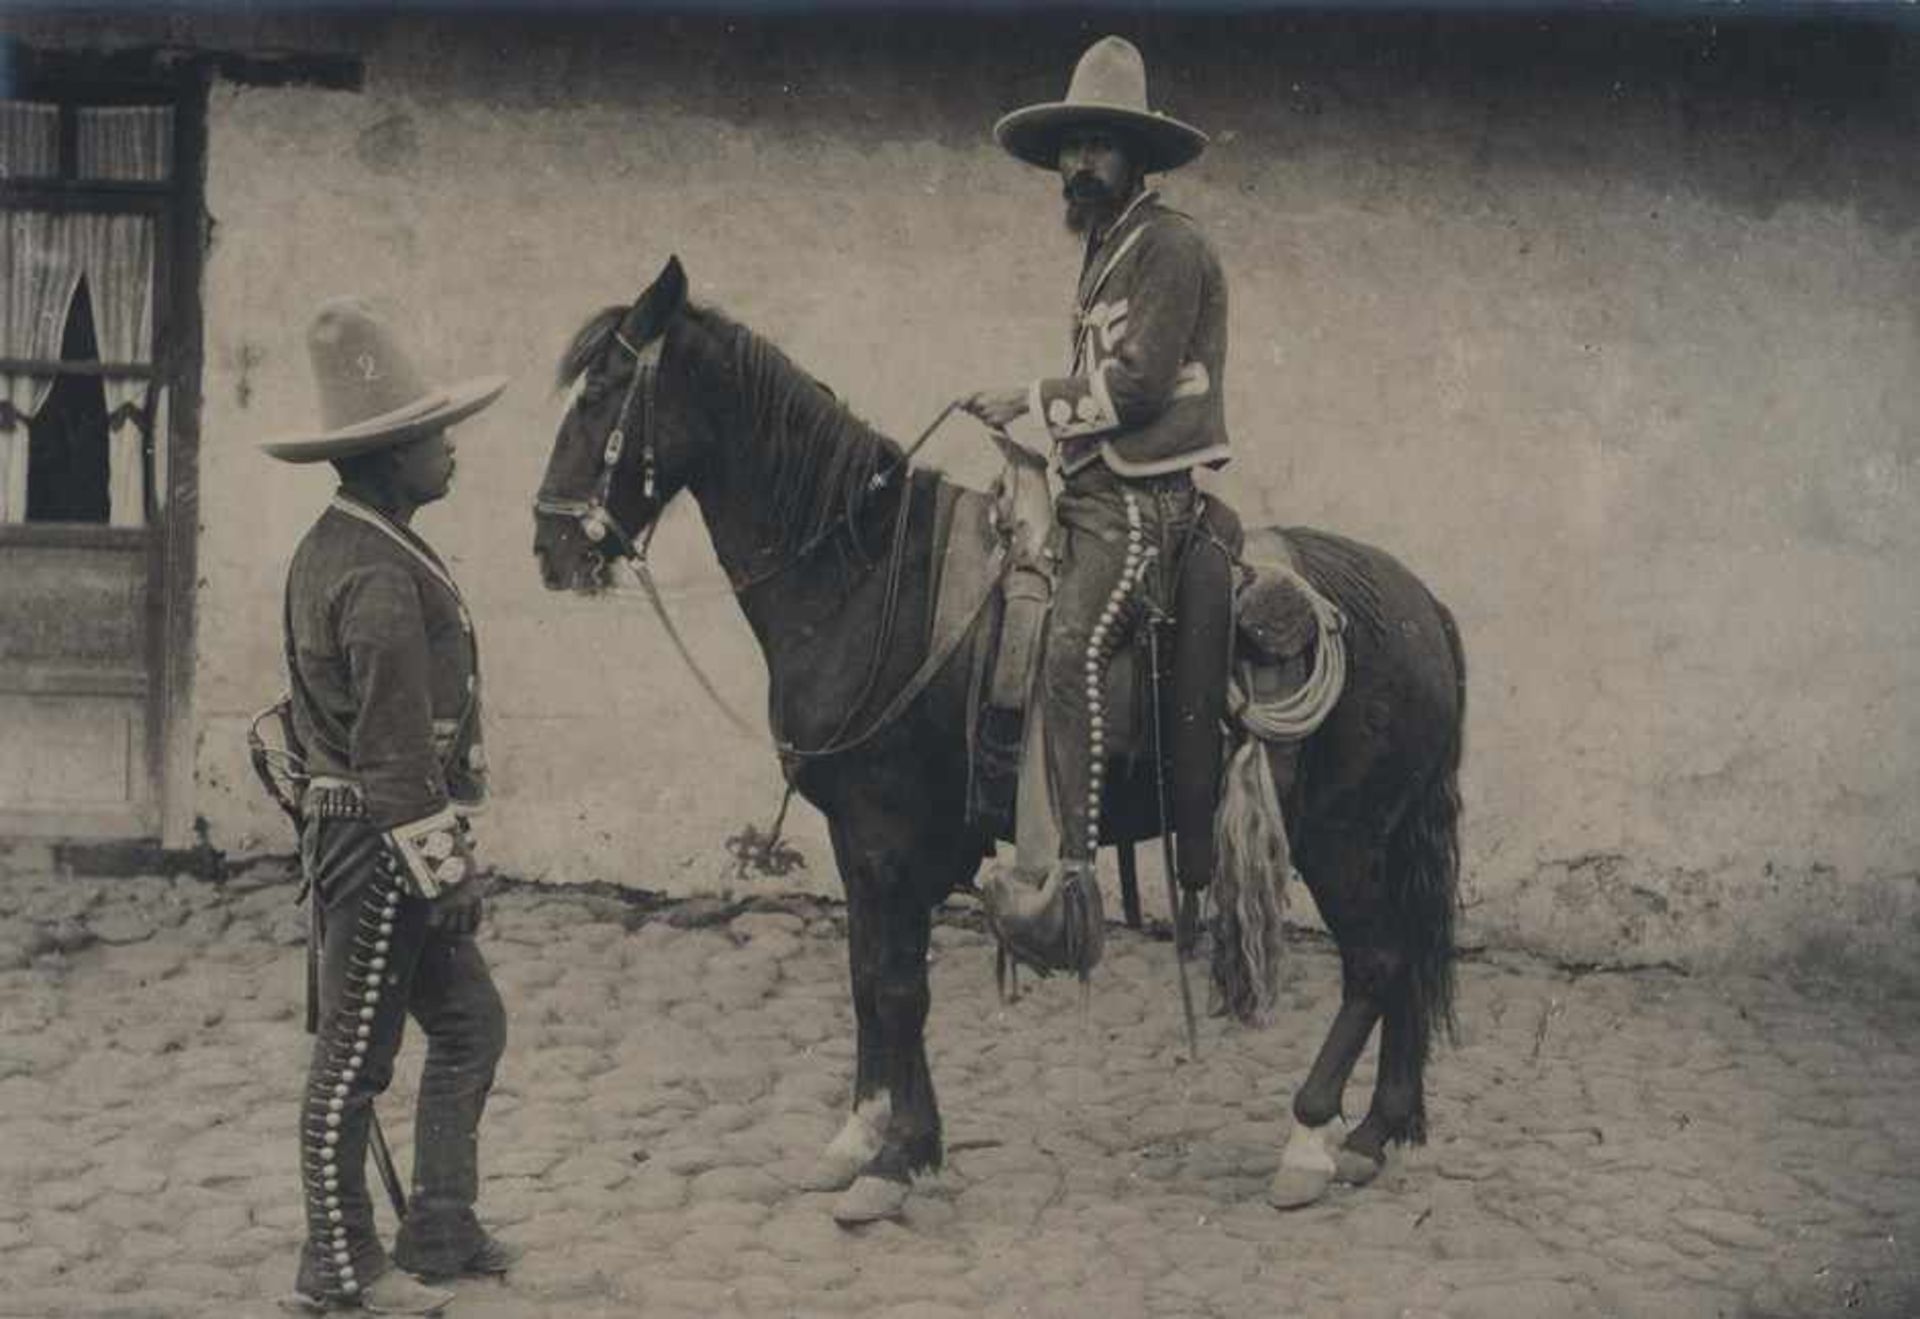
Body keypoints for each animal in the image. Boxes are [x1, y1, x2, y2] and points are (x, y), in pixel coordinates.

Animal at [533, 261, 1459, 1228]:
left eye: (600, 390)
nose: (549, 545)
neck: (867, 577)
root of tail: (1419, 605)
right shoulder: (857, 841)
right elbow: (870, 977)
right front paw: (871, 1135)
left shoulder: (889, 833)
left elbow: (899, 985)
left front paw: (894, 1159)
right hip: (1378, 836)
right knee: (1405, 962)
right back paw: (1375, 1132)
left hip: (1343, 837)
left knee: (1377, 961)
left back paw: (1311, 1139)